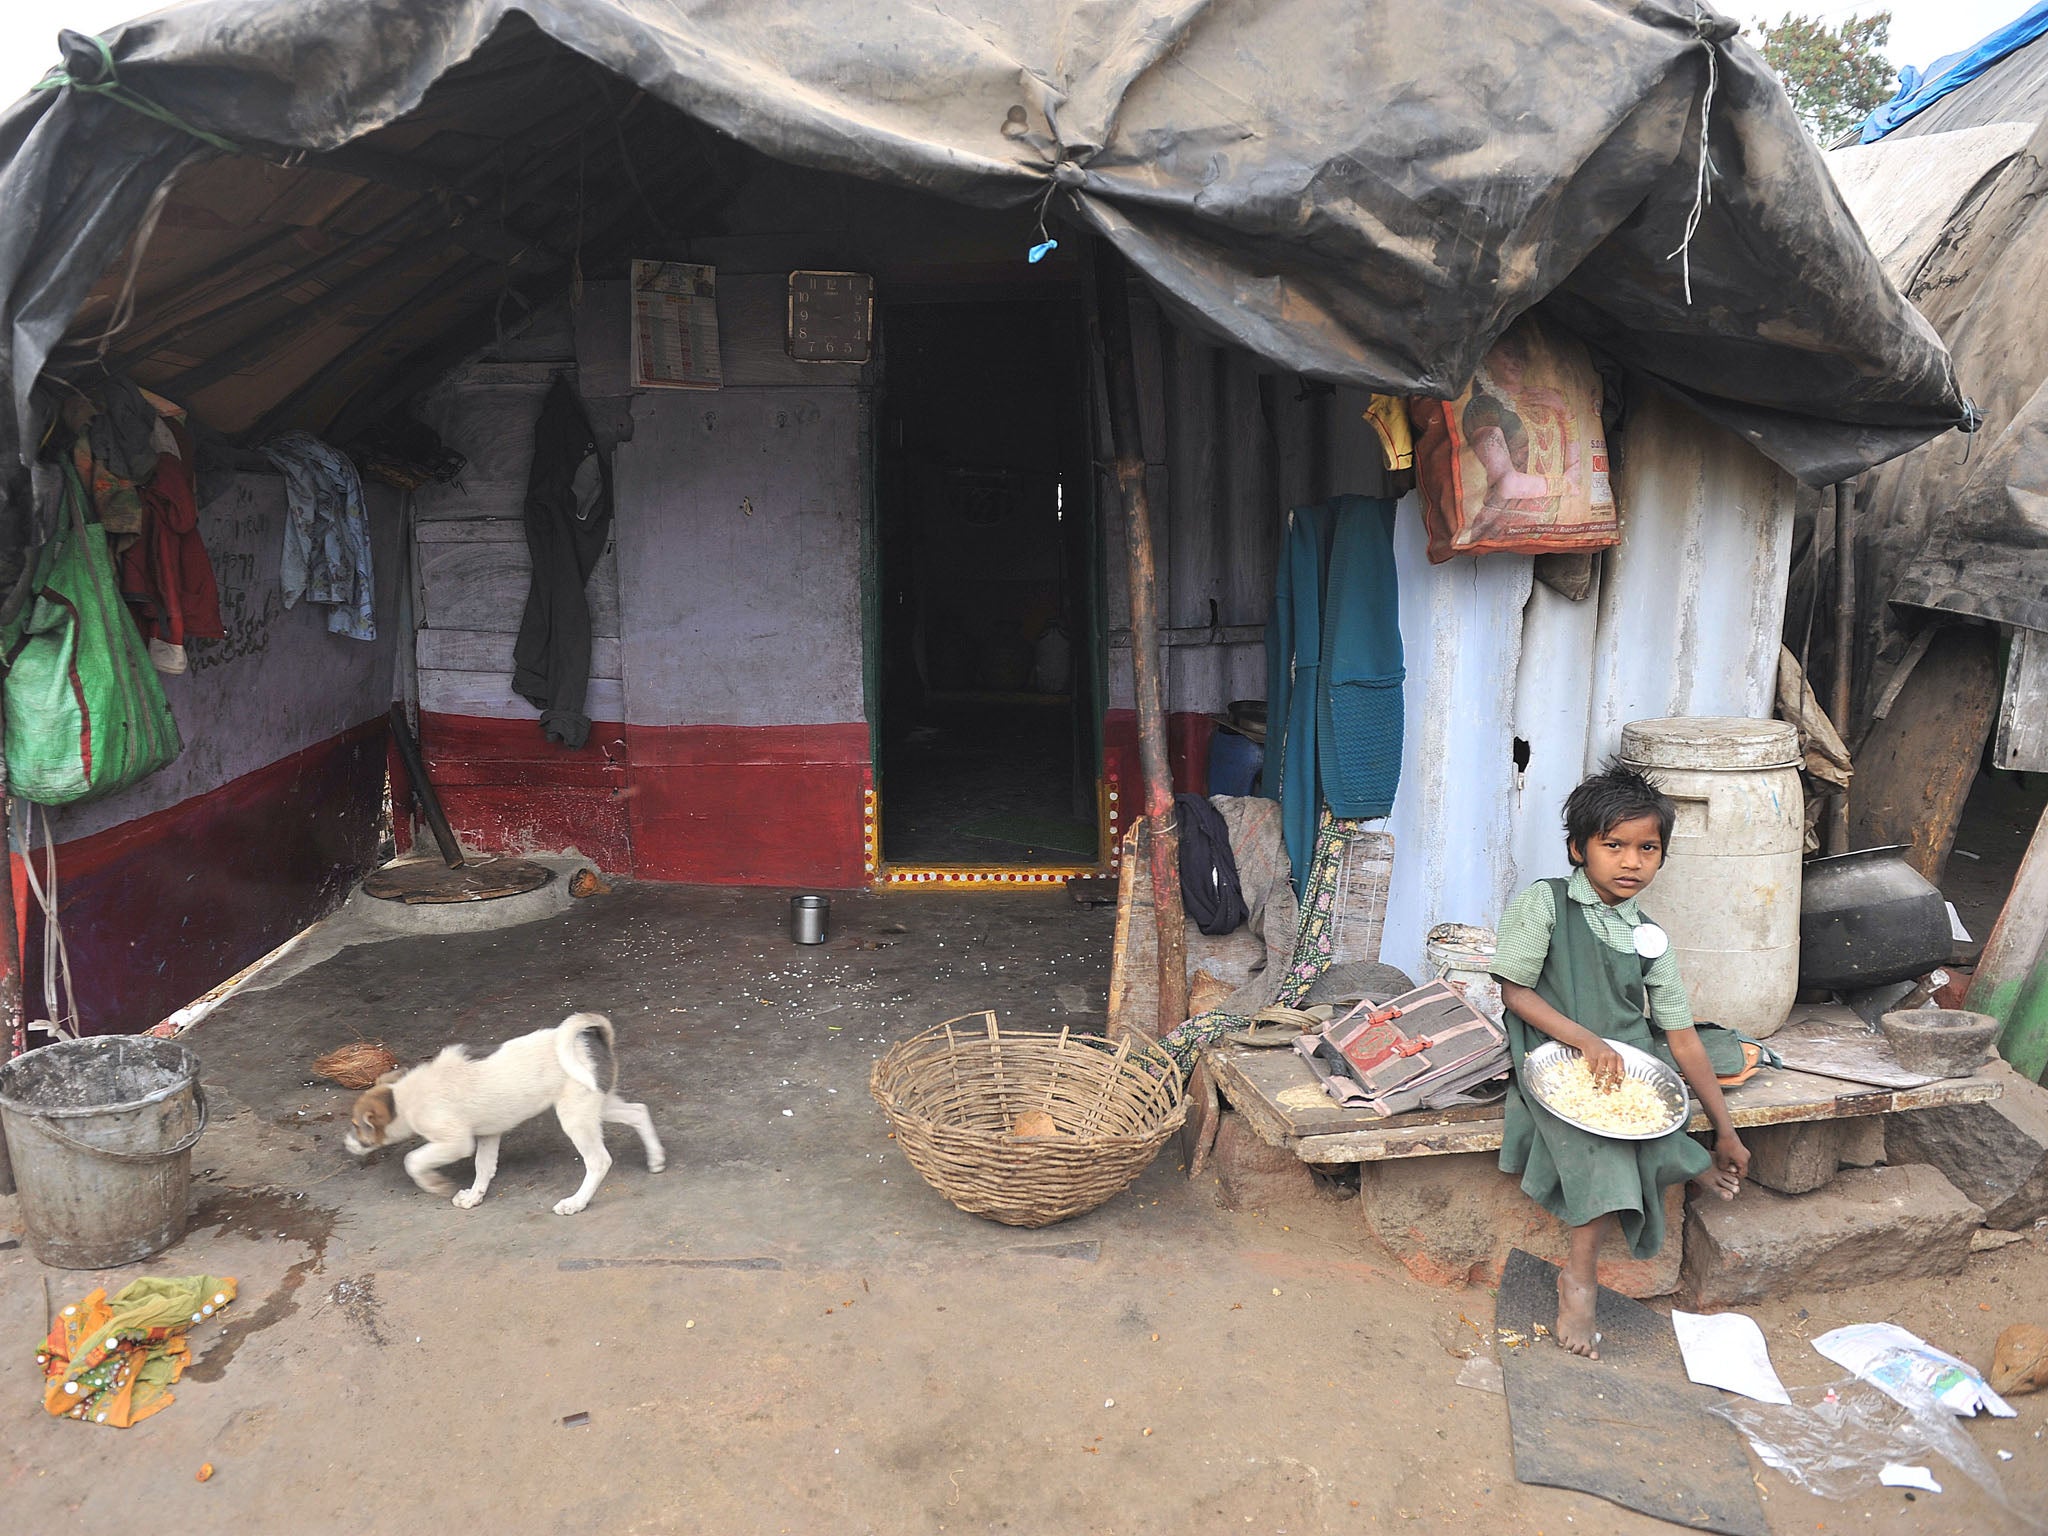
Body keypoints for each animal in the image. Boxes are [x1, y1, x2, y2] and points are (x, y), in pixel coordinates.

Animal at [344, 1015, 663, 1220]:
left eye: (357, 1126)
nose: (346, 1143)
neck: (403, 1098)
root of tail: (595, 1039)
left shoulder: (455, 1142)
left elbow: (413, 1160)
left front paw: (433, 1184)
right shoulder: (488, 1134)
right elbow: (483, 1167)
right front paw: (474, 1196)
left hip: (576, 1116)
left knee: (598, 1161)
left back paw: (576, 1203)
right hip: (597, 1103)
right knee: (638, 1111)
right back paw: (656, 1159)